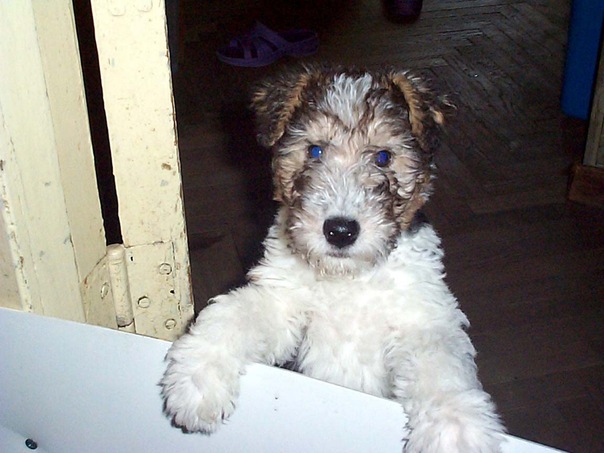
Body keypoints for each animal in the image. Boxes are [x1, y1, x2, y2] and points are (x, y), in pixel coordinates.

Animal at [161, 65, 505, 452]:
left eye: (383, 157)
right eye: (314, 150)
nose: (340, 231)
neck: (347, 279)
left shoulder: (422, 317)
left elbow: (441, 366)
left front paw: (456, 430)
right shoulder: (281, 303)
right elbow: (233, 314)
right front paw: (196, 380)